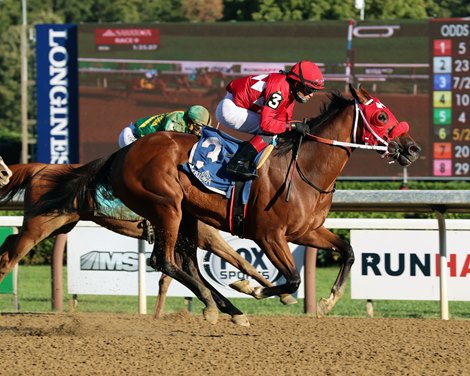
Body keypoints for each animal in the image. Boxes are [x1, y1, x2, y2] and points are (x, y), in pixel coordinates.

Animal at [0, 163, 294, 318]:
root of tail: (40, 168)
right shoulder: (207, 238)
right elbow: (243, 263)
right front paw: (275, 293)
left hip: (58, 224)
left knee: (11, 239)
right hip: (39, 226)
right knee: (11, 256)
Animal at [30, 83, 422, 324]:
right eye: (382, 116)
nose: (413, 148)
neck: (304, 168)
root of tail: (122, 153)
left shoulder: (306, 231)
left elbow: (348, 251)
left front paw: (327, 301)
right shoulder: (269, 235)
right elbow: (292, 278)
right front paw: (252, 288)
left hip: (187, 216)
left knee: (185, 264)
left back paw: (226, 308)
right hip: (167, 208)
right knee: (164, 261)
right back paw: (218, 304)